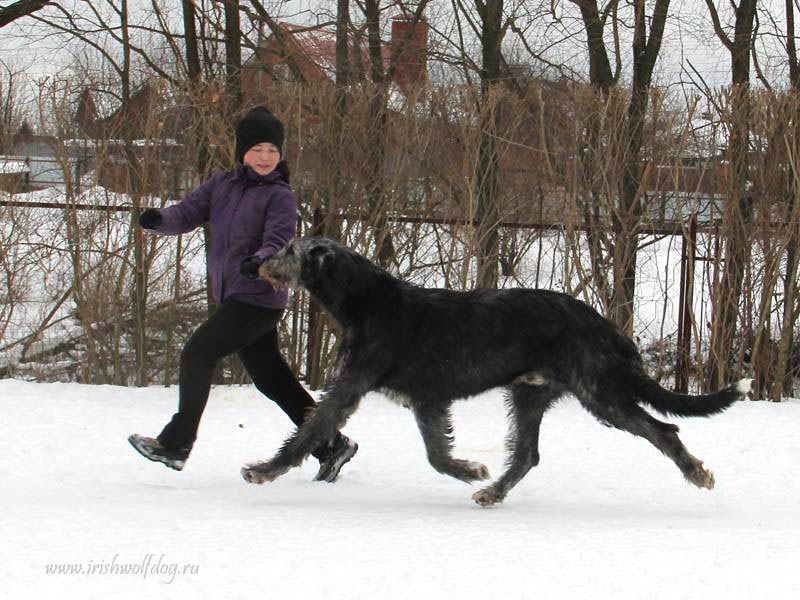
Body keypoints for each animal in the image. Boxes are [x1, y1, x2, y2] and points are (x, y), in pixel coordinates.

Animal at [239, 237, 752, 504]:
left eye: (290, 249)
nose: (254, 261)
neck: (365, 298)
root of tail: (606, 325)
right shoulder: (428, 399)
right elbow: (436, 454)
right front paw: (469, 470)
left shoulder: (355, 386)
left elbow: (312, 429)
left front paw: (263, 470)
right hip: (531, 392)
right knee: (527, 454)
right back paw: (493, 492)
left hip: (599, 391)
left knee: (662, 429)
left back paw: (697, 473)